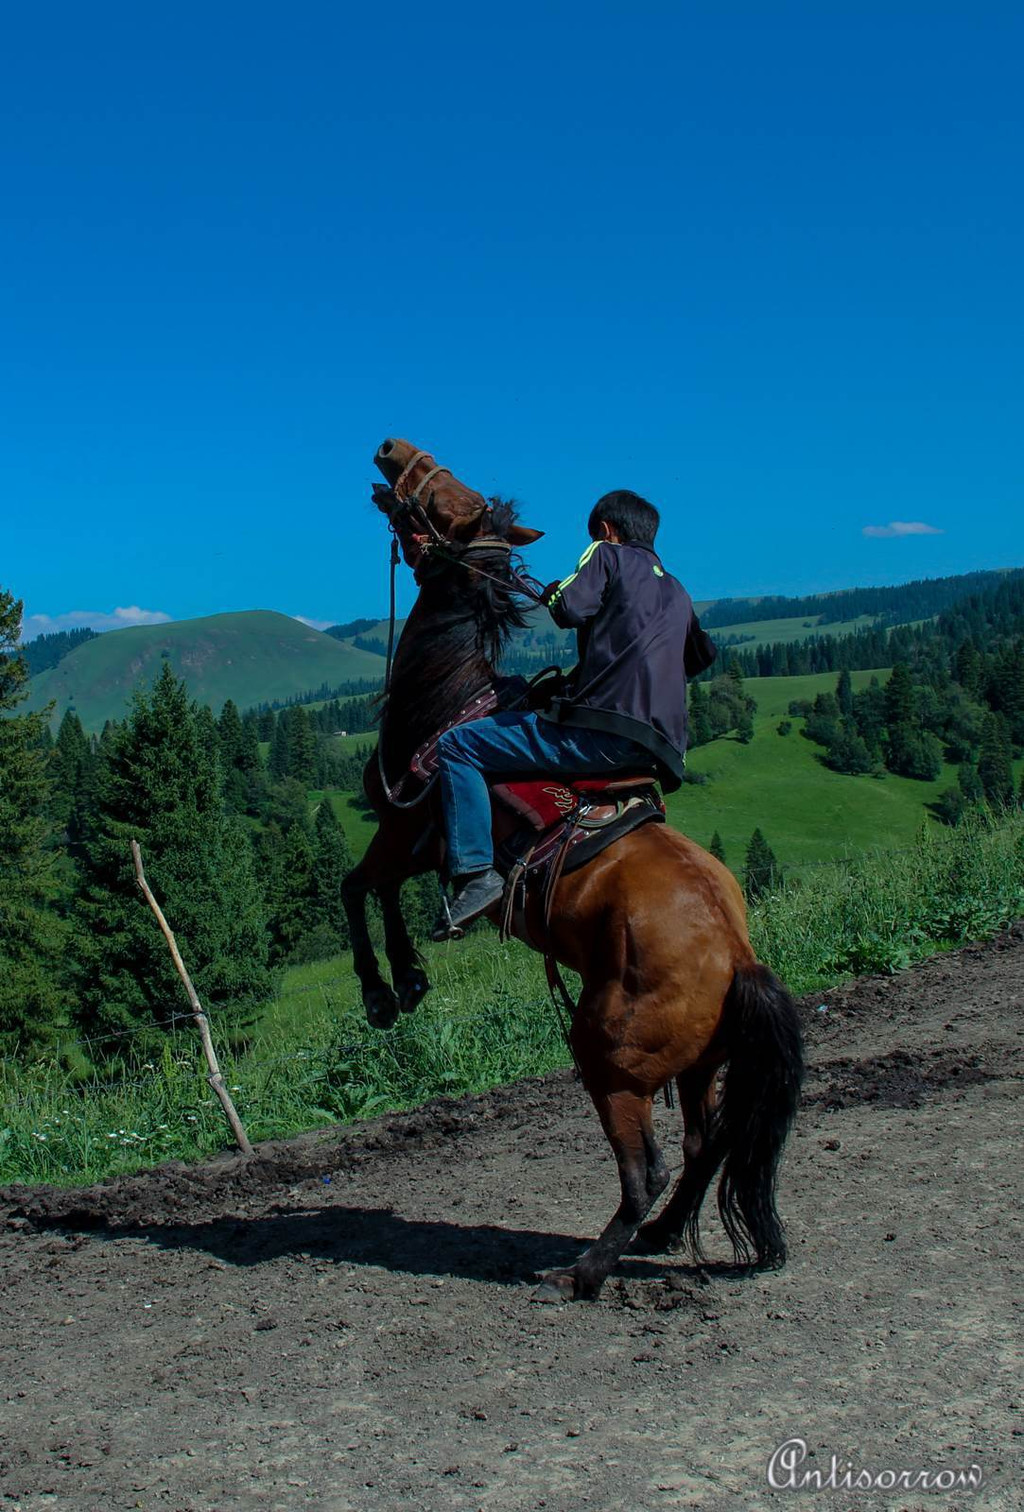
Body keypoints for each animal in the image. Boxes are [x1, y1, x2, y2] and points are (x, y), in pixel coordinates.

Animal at [338, 438, 804, 1300]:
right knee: (704, 1145)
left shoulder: (409, 821)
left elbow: (358, 887)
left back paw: (588, 1267)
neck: (451, 700)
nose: (391, 450)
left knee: (647, 1168)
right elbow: (380, 893)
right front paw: (409, 978)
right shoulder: (418, 842)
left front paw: (385, 992)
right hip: (698, 1066)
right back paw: (659, 1236)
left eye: (449, 501)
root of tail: (737, 957)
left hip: (612, 1064)